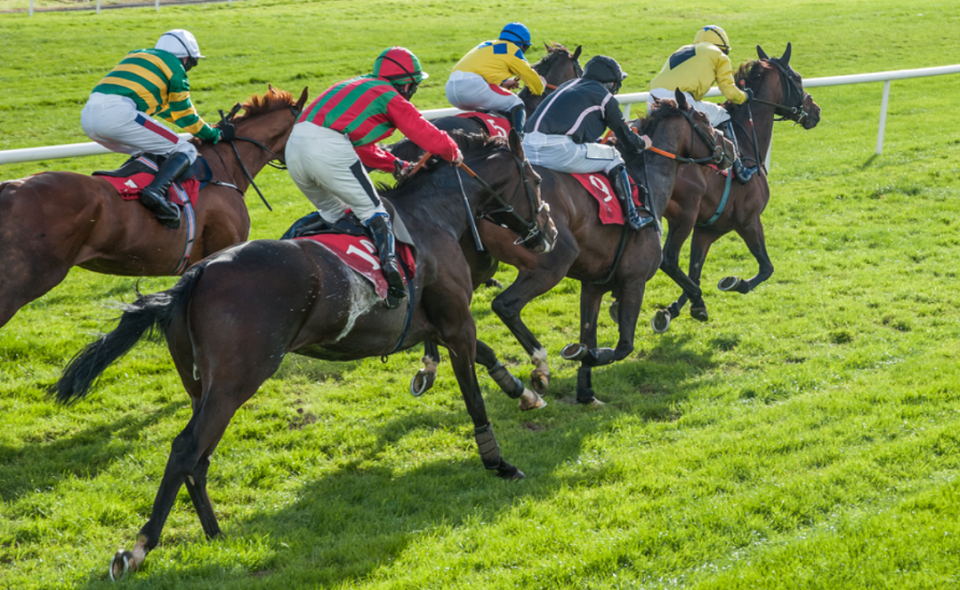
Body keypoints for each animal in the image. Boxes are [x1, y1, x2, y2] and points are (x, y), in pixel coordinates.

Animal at [52, 131, 560, 584]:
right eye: (535, 179)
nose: (550, 232)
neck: (432, 218)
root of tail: (195, 274)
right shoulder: (456, 324)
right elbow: (473, 395)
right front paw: (499, 462)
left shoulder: (435, 326)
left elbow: (486, 355)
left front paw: (526, 391)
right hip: (237, 381)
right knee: (186, 449)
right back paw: (139, 548)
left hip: (201, 385)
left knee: (200, 458)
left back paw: (217, 535)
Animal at [410, 92, 736, 408]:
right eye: (704, 117)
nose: (731, 149)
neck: (646, 182)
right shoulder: (634, 281)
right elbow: (622, 346)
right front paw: (582, 355)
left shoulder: (593, 285)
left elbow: (589, 333)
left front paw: (586, 392)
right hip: (552, 262)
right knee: (504, 305)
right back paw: (539, 366)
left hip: (474, 268)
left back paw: (431, 366)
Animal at [652, 45, 824, 332]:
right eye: (797, 78)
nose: (816, 111)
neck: (745, 140)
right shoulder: (748, 220)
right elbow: (766, 267)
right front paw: (733, 282)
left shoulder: (707, 229)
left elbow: (694, 272)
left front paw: (678, 308)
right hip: (683, 217)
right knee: (667, 258)